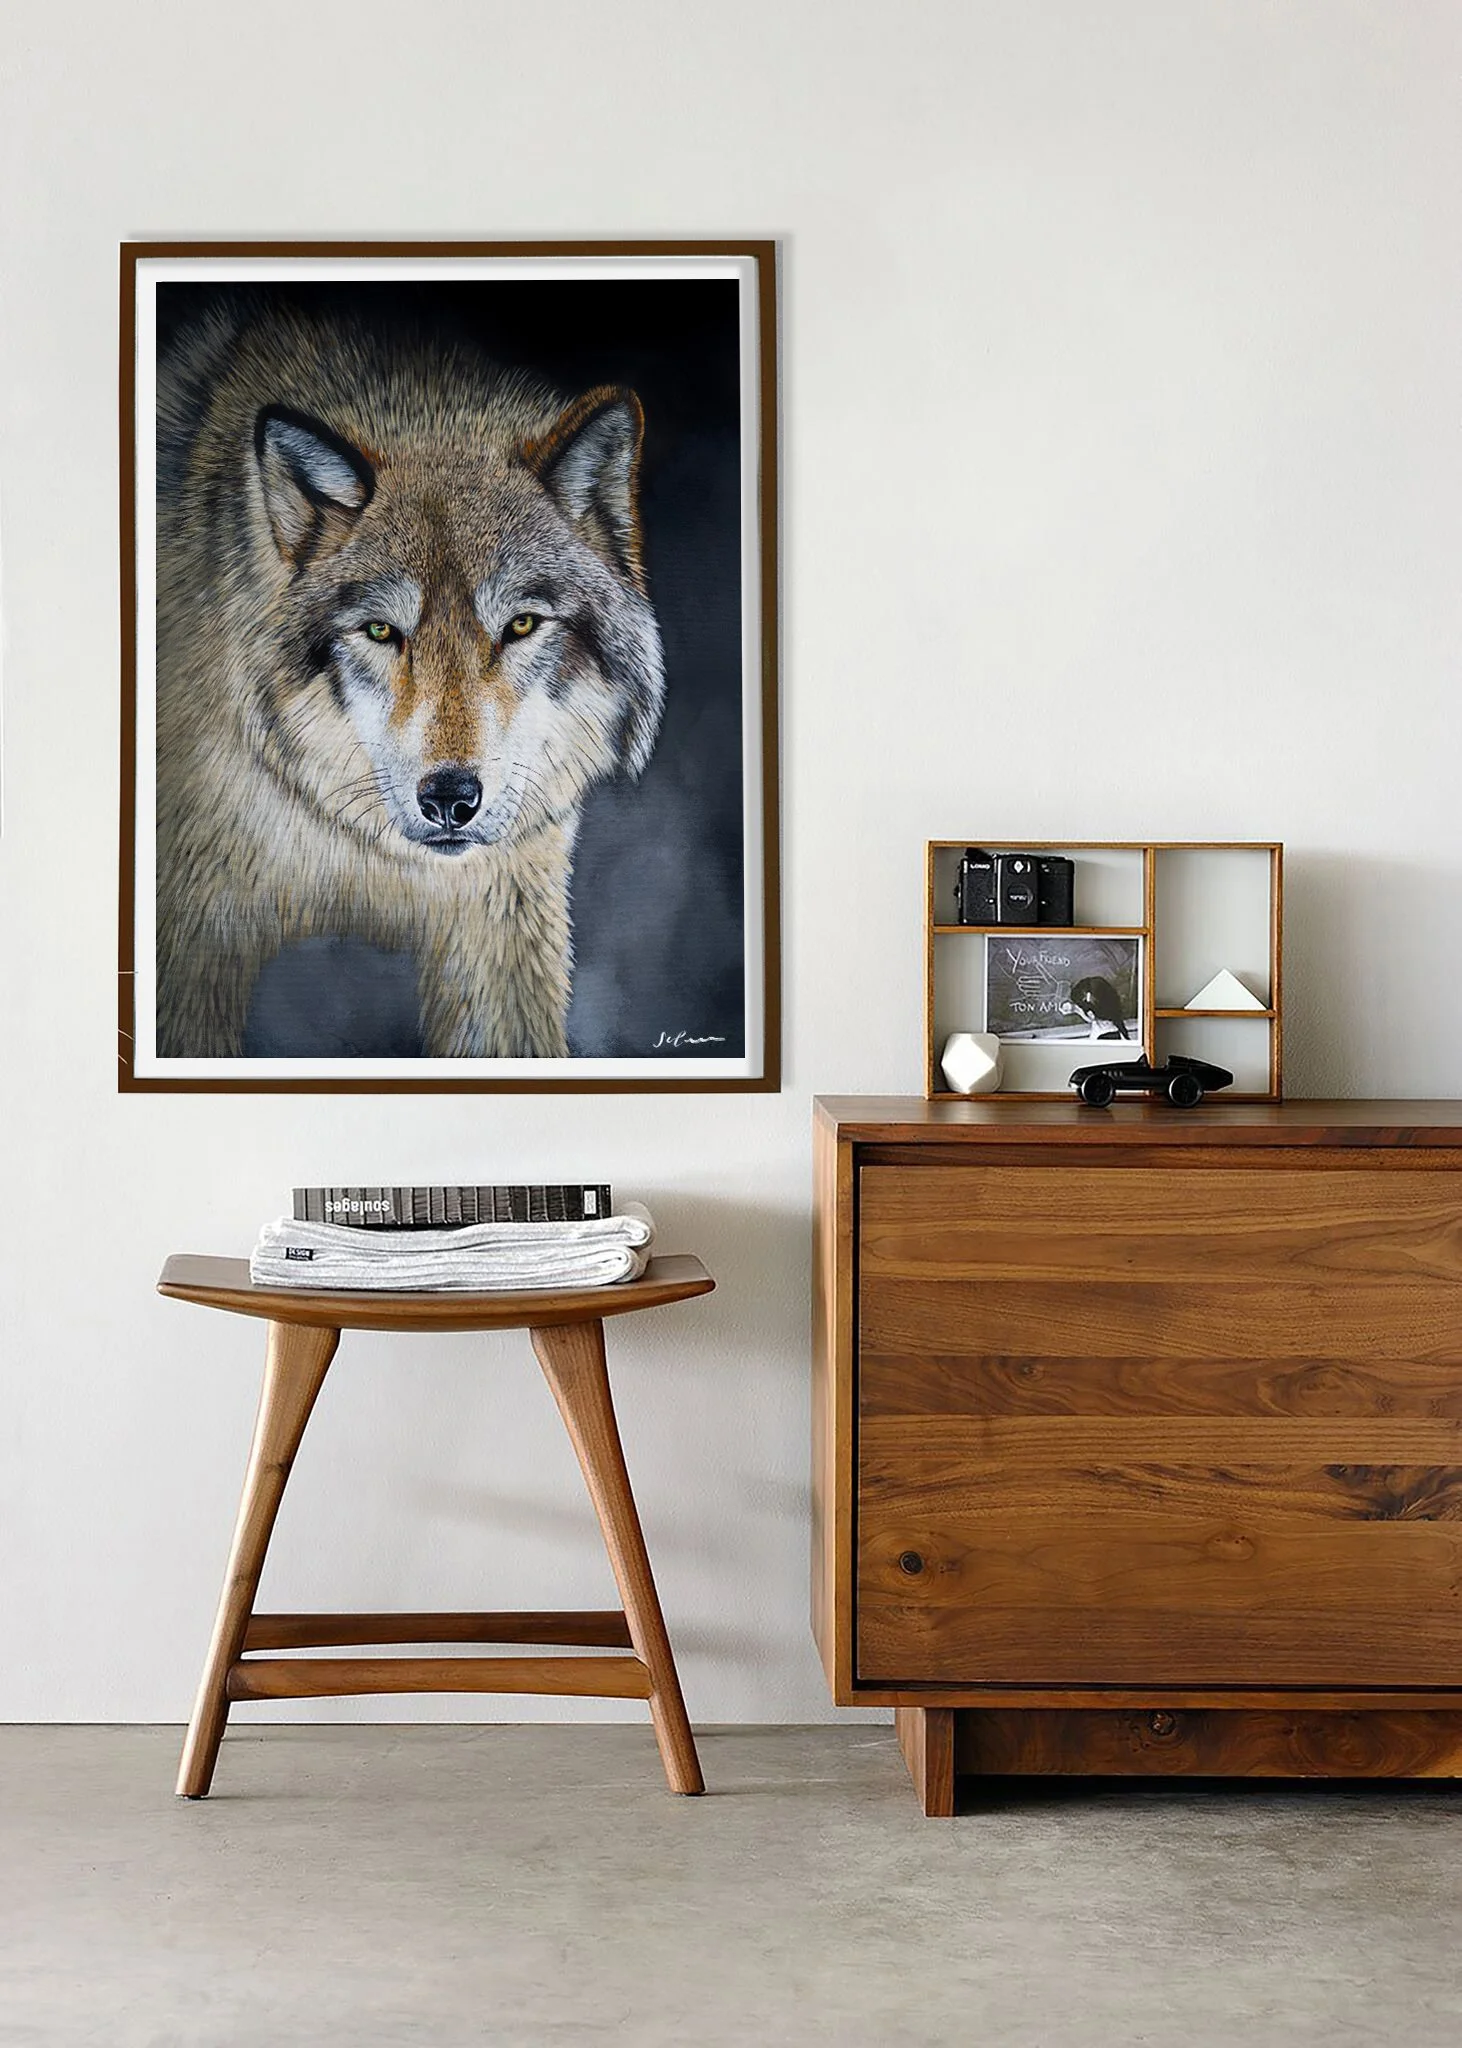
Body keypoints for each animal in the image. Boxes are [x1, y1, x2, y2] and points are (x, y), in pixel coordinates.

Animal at [154, 295, 666, 1059]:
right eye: (381, 632)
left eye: (520, 625)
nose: (451, 799)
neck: (360, 856)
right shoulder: (190, 946)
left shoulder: (503, 926)